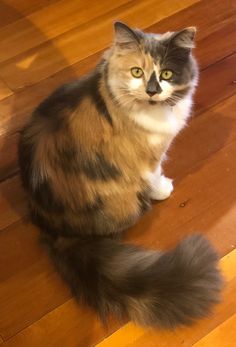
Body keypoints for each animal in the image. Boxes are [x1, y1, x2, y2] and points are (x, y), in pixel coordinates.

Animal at [18, 22, 223, 328]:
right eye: (137, 72)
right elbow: (155, 174)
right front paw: (163, 190)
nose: (152, 90)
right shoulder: (148, 157)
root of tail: (55, 227)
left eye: (166, 74)